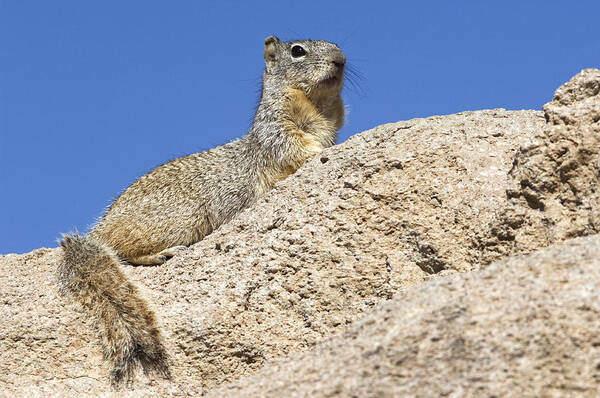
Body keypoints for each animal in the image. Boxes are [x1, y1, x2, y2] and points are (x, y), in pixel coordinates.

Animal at [58, 35, 346, 388]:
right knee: (123, 250)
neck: (318, 106)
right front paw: (321, 152)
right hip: (182, 218)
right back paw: (162, 254)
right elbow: (299, 148)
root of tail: (97, 231)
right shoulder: (277, 132)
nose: (341, 60)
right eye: (298, 51)